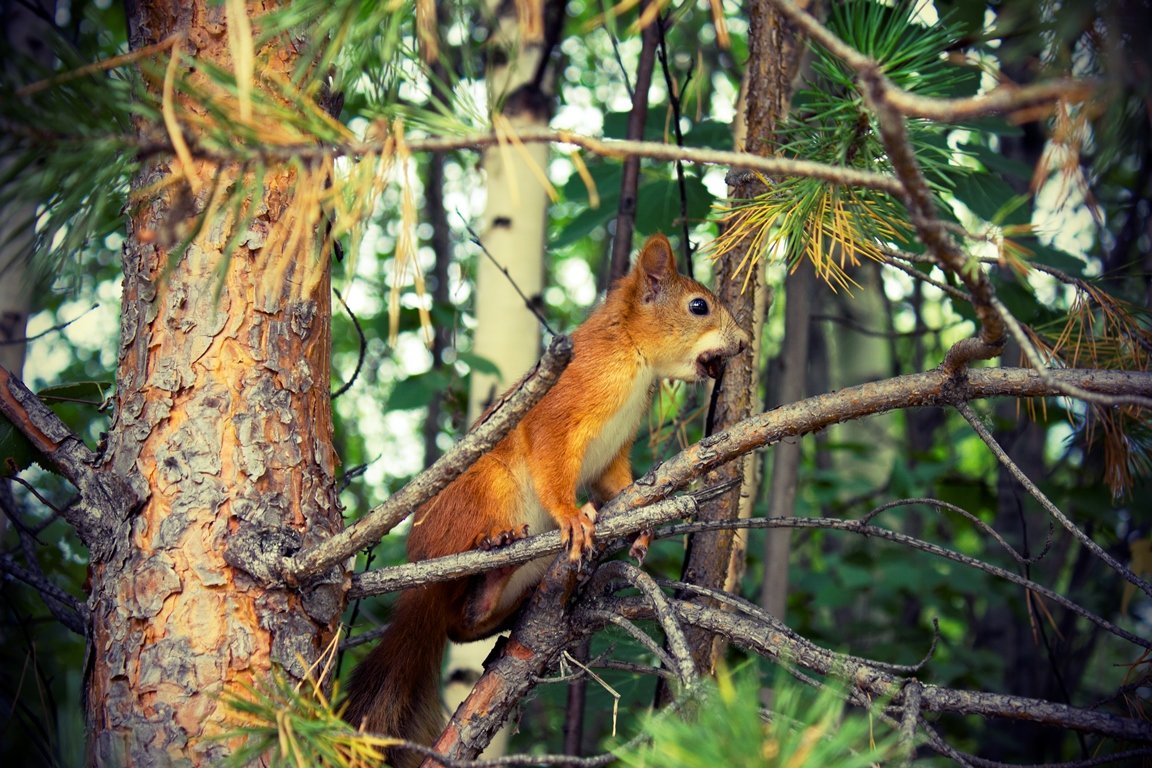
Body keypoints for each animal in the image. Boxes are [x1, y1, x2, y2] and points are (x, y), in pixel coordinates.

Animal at [343, 236, 746, 768]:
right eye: (698, 306)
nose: (745, 343)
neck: (633, 356)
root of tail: (420, 572)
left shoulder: (612, 454)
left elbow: (619, 486)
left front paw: (642, 524)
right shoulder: (558, 414)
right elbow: (553, 468)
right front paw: (574, 516)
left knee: (462, 624)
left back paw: (497, 596)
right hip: (490, 489)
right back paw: (494, 543)